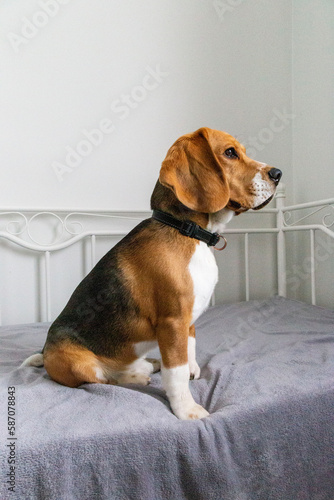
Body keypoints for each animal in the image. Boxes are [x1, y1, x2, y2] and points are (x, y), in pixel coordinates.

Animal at [22, 128, 280, 418]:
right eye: (230, 153)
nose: (278, 173)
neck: (186, 231)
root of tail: (45, 352)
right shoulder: (173, 321)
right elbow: (176, 372)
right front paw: (186, 409)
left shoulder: (187, 320)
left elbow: (189, 350)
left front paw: (192, 371)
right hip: (76, 362)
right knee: (105, 380)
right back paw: (137, 377)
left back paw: (145, 365)